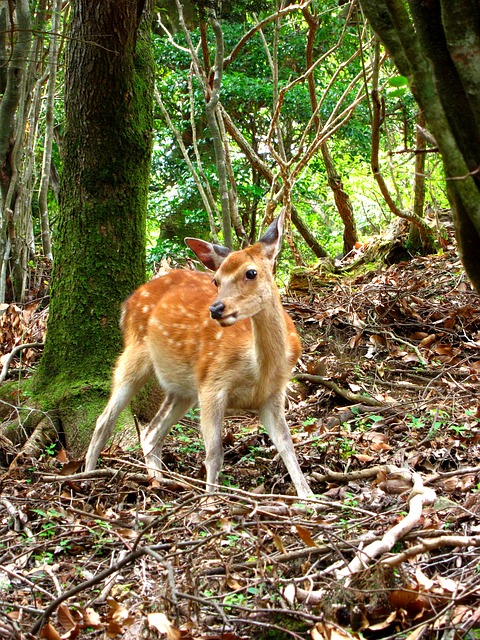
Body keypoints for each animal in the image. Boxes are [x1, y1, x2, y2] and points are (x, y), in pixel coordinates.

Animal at [84, 211, 312, 498]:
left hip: (183, 387)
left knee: (150, 432)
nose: (216, 308)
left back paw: (159, 481)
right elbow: (214, 453)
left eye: (251, 273)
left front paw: (309, 497)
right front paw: (210, 501)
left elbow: (286, 444)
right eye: (216, 280)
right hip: (135, 353)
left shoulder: (273, 393)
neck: (261, 367)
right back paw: (86, 476)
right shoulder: (212, 383)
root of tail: (127, 303)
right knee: (105, 419)